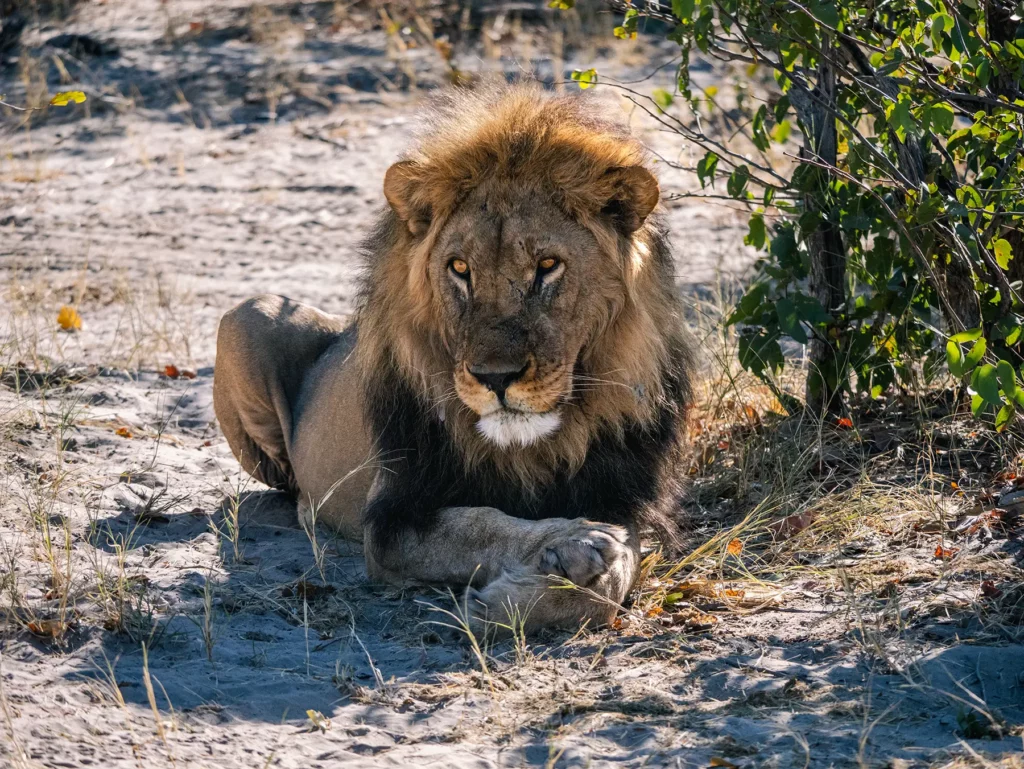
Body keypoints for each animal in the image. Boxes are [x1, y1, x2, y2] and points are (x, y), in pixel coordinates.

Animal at [213, 82, 693, 632]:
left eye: (548, 265)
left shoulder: (629, 497)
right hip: (247, 315)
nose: (495, 377)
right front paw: (568, 544)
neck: (532, 448)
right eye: (459, 268)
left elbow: (621, 567)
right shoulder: (395, 517)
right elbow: (480, 523)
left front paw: (531, 596)